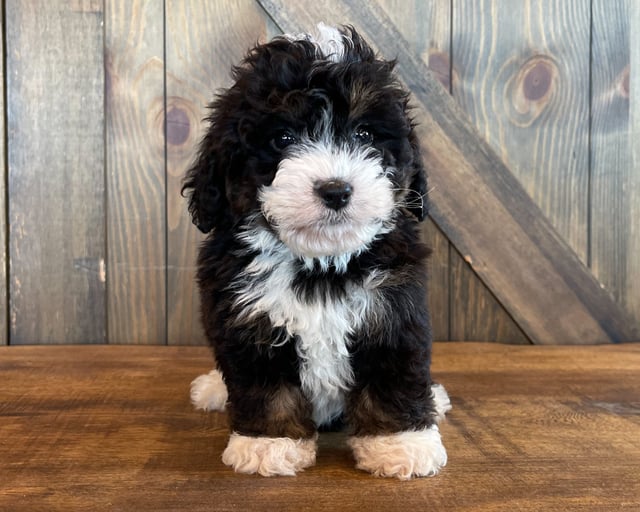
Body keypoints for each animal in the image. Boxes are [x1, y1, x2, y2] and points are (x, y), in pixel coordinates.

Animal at [184, 23, 450, 480]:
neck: (320, 265)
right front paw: (269, 444)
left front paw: (401, 443)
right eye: (283, 138)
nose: (336, 190)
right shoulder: (246, 319)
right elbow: (265, 385)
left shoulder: (393, 308)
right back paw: (214, 389)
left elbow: (394, 373)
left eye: (364, 135)